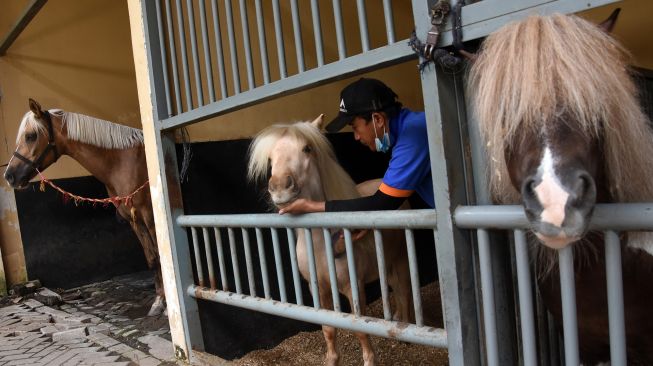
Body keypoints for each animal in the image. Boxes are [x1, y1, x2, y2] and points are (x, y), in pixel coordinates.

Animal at [3, 99, 166, 318]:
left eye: (30, 136)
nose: (9, 176)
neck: (123, 161)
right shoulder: (134, 219)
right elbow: (153, 258)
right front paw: (159, 301)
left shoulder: (150, 216)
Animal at [247, 116, 410, 366]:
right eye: (271, 159)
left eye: (306, 149)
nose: (280, 188)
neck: (320, 244)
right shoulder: (318, 289)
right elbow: (328, 329)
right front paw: (332, 359)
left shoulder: (353, 287)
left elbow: (361, 330)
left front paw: (369, 360)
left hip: (401, 258)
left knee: (404, 290)